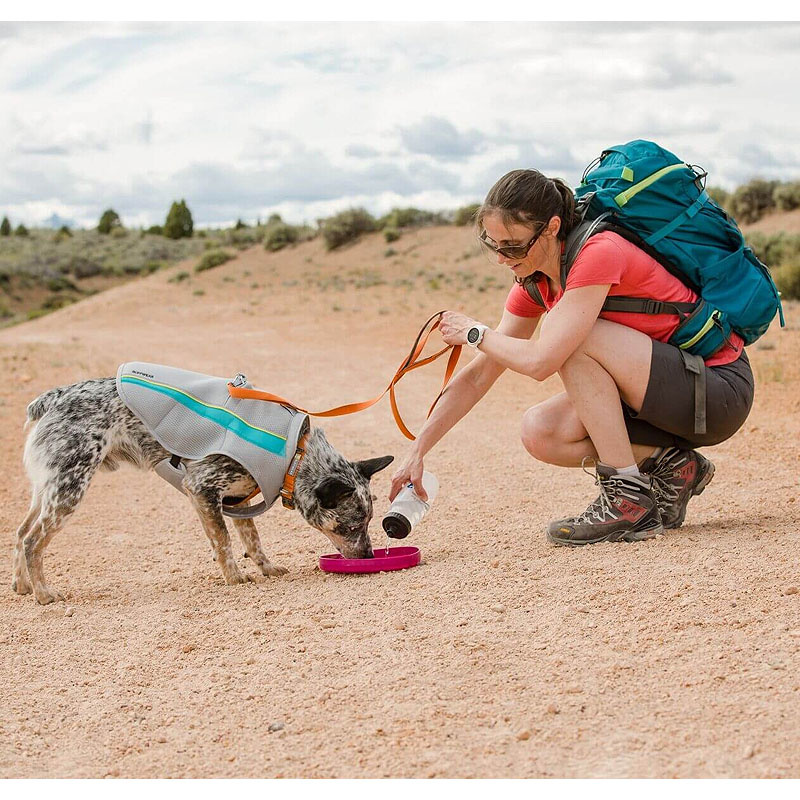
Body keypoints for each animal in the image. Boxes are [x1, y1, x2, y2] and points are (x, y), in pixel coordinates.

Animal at [12, 378, 394, 604]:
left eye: (368, 523)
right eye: (349, 526)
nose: (369, 557)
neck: (294, 456)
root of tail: (53, 398)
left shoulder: (237, 499)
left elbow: (252, 540)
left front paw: (267, 568)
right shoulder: (202, 490)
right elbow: (223, 543)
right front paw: (234, 578)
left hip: (47, 491)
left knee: (19, 533)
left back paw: (22, 585)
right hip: (69, 490)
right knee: (32, 541)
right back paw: (44, 593)